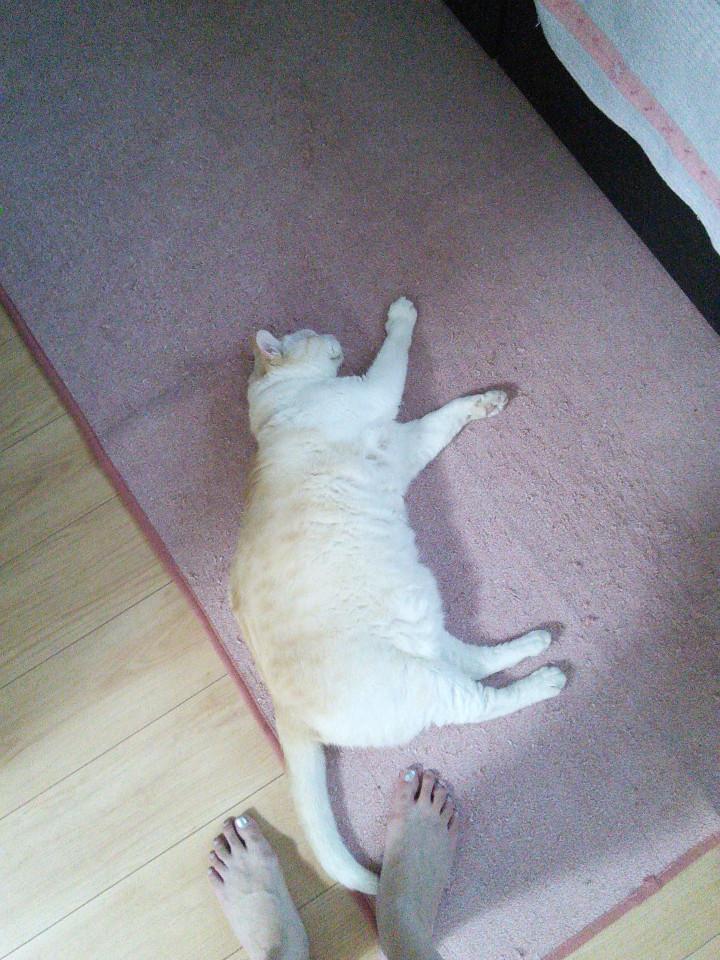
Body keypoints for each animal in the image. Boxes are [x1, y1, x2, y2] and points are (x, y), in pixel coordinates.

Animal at [229, 296, 566, 895]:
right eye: (309, 331)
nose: (332, 334)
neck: (269, 413)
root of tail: (283, 709)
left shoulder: (404, 444)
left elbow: (448, 416)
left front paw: (490, 401)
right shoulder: (381, 398)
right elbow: (406, 369)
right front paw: (402, 316)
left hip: (423, 624)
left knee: (477, 659)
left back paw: (536, 643)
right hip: (426, 681)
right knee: (484, 700)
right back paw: (548, 679)